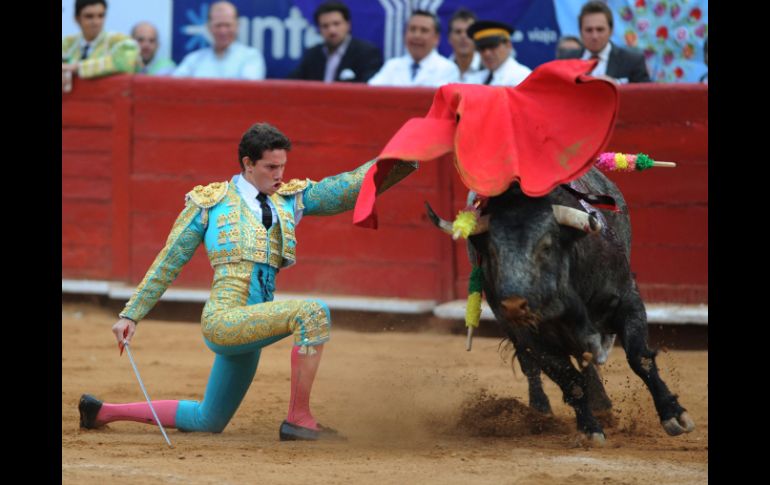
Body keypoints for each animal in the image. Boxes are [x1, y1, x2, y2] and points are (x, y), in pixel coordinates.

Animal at [424, 166, 692, 442]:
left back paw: (602, 406)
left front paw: (673, 415)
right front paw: (589, 429)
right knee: (533, 365)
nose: (513, 305)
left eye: (546, 247)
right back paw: (542, 411)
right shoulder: (531, 335)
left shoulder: (628, 300)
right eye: (492, 253)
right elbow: (568, 379)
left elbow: (640, 358)